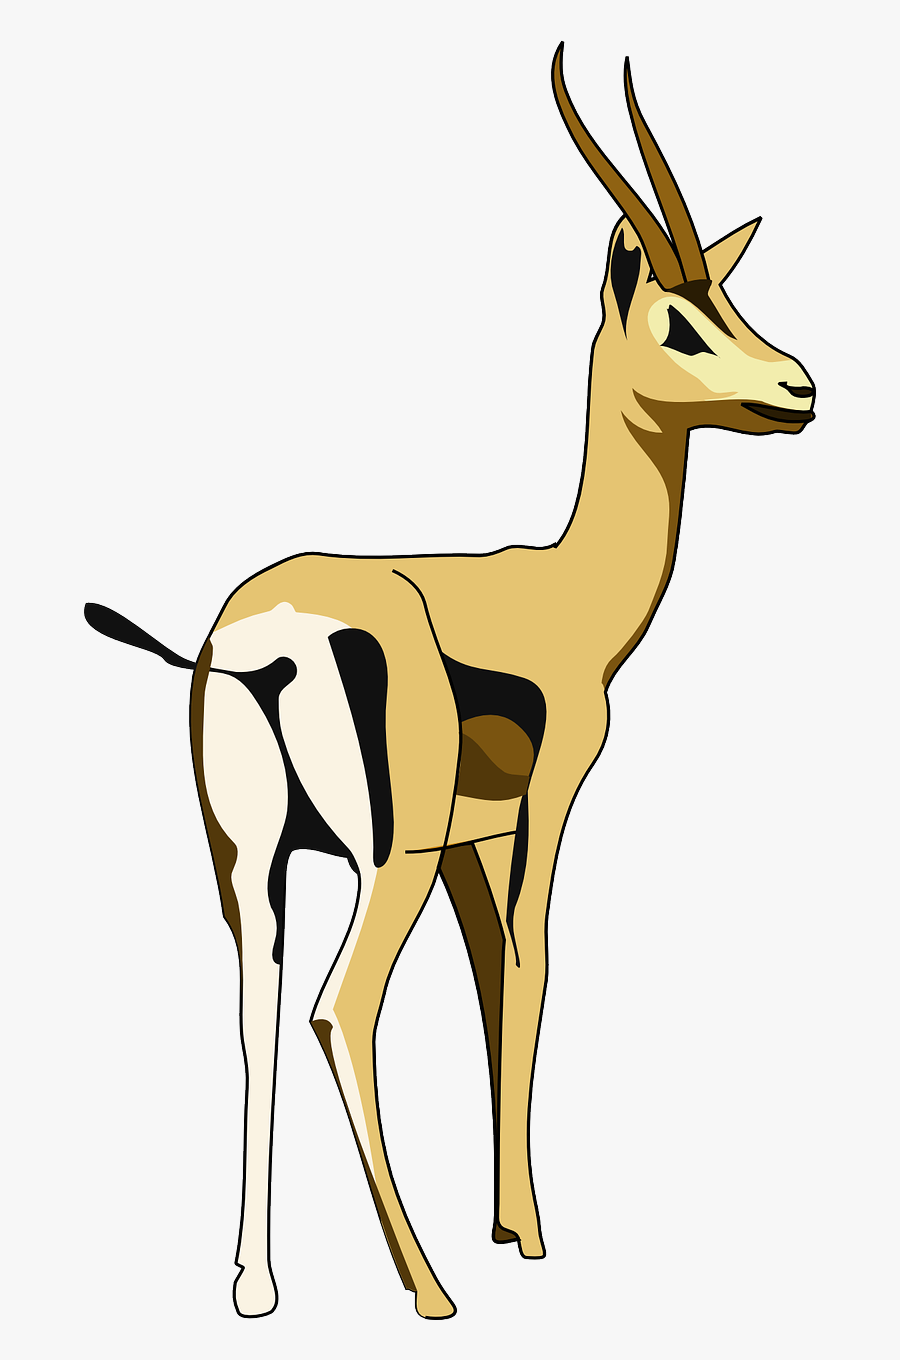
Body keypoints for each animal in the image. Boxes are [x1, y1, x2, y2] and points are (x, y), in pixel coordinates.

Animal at [85, 44, 815, 1321]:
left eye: (727, 303)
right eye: (679, 325)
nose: (800, 388)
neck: (568, 592)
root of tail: (258, 640)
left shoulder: (475, 841)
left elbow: (488, 987)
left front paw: (505, 1222)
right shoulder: (541, 805)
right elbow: (531, 968)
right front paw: (530, 1237)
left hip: (250, 865)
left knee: (259, 1004)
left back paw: (256, 1287)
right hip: (389, 858)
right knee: (341, 1006)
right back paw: (425, 1289)